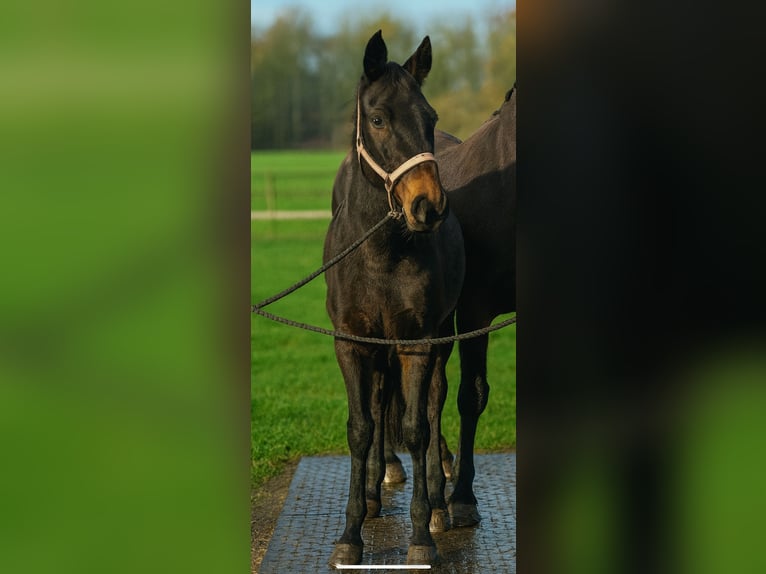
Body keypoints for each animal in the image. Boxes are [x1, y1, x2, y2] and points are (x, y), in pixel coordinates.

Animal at [324, 31, 465, 567]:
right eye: (379, 118)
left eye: (431, 118)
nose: (429, 206)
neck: (381, 252)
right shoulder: (352, 343)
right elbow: (361, 426)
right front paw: (351, 532)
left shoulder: (416, 344)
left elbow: (417, 426)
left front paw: (422, 533)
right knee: (380, 402)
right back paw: (372, 490)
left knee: (433, 403)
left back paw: (440, 502)